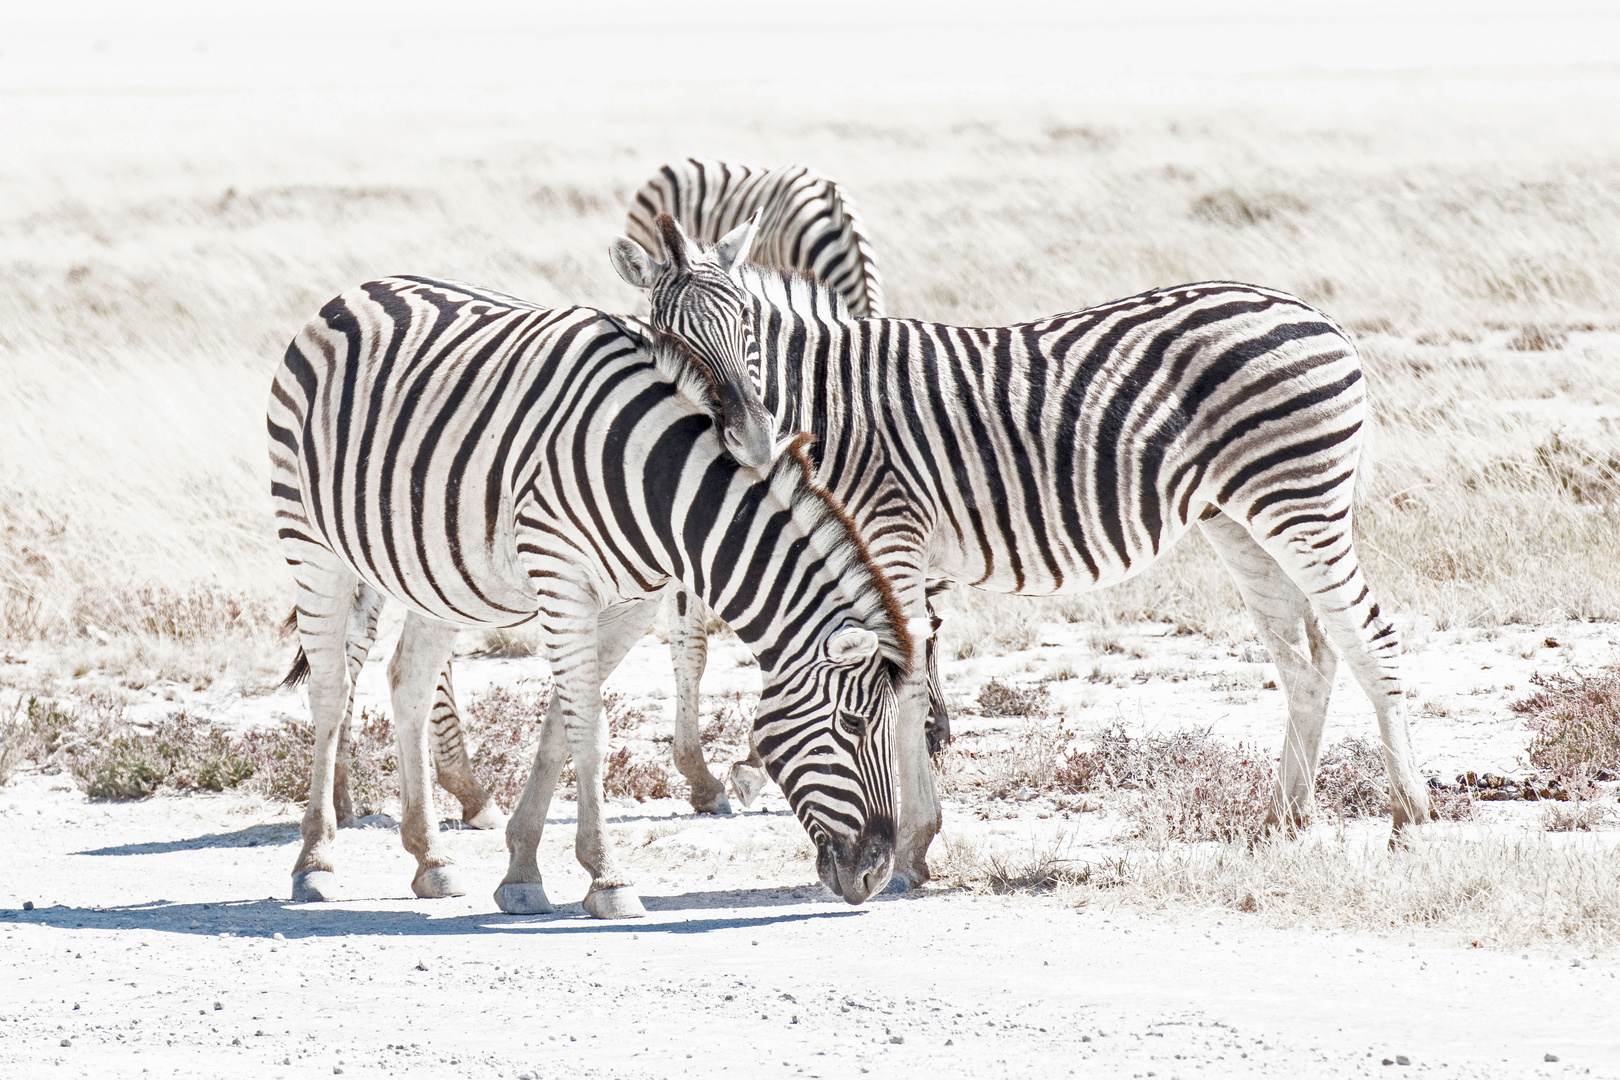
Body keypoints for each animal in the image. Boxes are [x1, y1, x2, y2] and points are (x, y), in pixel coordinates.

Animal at [262, 275, 913, 919]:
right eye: (854, 723)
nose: (876, 875)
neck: (660, 488)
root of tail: (362, 289)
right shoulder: (563, 578)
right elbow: (591, 730)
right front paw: (608, 878)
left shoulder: (631, 603)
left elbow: (563, 723)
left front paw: (523, 871)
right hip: (309, 541)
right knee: (330, 692)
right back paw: (316, 862)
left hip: (439, 575)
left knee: (410, 684)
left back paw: (432, 859)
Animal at [618, 259, 1432, 887]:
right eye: (671, 342)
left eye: (747, 332)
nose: (752, 442)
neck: (818, 397)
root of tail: (1316, 315)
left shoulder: (888, 532)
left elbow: (897, 682)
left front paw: (910, 847)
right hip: (1239, 520)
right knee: (1305, 662)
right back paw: (1282, 821)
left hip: (1300, 501)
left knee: (1371, 641)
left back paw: (1409, 819)